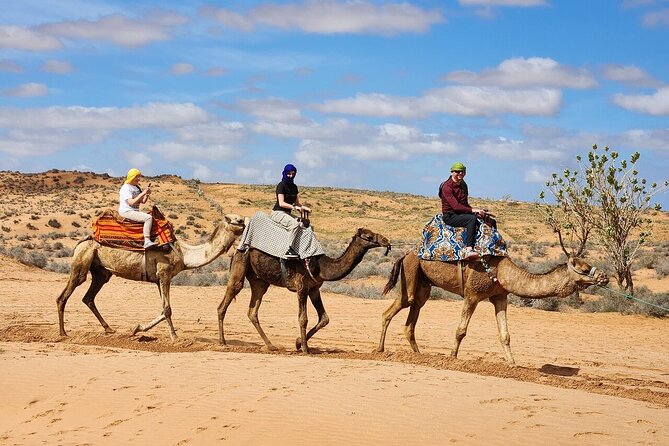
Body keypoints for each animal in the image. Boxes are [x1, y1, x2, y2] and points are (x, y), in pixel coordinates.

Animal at [56, 214, 245, 340]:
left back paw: (109, 329)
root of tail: (81, 241)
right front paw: (174, 337)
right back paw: (63, 333)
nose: (244, 220)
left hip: (101, 272)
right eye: (234, 219)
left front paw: (136, 328)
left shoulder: (158, 279)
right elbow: (167, 309)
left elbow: (163, 309)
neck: (184, 254)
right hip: (82, 262)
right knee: (64, 295)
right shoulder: (164, 274)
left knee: (89, 297)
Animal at [217, 228, 392, 354]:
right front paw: (306, 349)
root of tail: (237, 248)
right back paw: (222, 342)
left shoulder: (314, 289)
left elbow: (324, 318)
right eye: (368, 235)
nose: (386, 240)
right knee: (228, 298)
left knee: (253, 311)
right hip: (241, 264)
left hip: (260, 282)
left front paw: (298, 343)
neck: (322, 266)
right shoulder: (301, 287)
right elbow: (303, 318)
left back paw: (271, 346)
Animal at [376, 253, 604, 364]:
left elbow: (505, 335)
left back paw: (419, 355)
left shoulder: (500, 297)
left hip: (424, 284)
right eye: (584, 269)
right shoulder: (472, 294)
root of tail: (405, 255)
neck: (502, 272)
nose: (604, 277)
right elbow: (461, 330)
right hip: (411, 272)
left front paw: (513, 364)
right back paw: (380, 350)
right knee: (395, 308)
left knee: (412, 314)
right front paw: (452, 357)